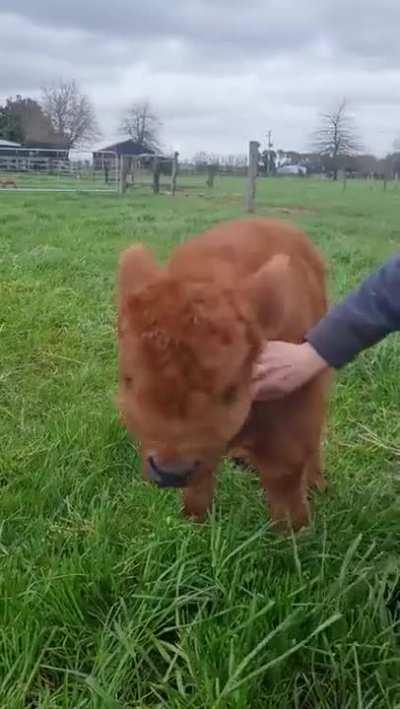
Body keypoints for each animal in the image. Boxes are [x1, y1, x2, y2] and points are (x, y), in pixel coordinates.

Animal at [117, 218, 331, 531]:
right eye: (128, 380)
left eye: (231, 390)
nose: (171, 472)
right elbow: (199, 488)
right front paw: (194, 524)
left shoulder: (294, 407)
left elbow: (284, 477)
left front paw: (296, 534)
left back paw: (317, 483)